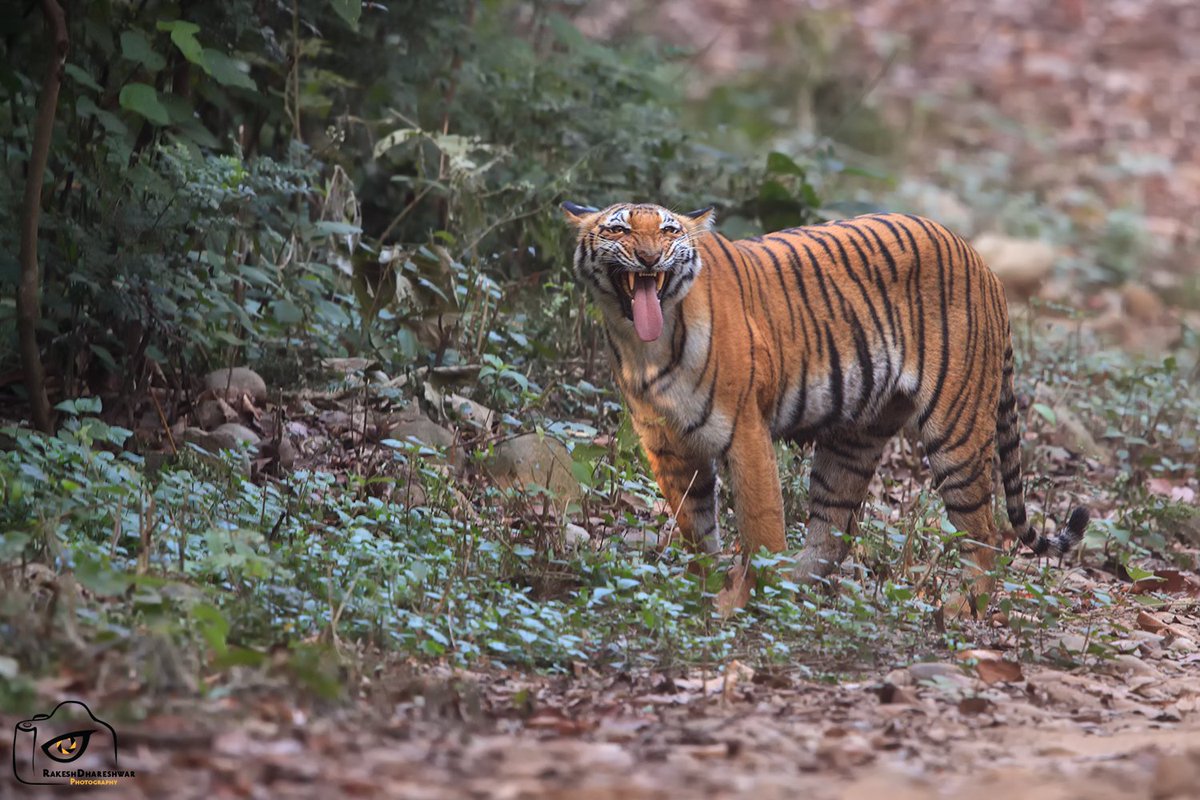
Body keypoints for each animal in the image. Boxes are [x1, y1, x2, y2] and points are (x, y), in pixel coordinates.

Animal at [559, 200, 1089, 614]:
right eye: (619, 229)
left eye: (669, 231)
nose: (649, 257)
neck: (648, 343)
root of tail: (982, 263)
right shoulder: (666, 445)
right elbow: (696, 529)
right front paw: (703, 595)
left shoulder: (745, 432)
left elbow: (761, 527)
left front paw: (749, 603)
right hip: (854, 440)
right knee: (832, 530)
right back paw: (799, 594)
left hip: (955, 432)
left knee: (986, 533)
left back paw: (961, 610)